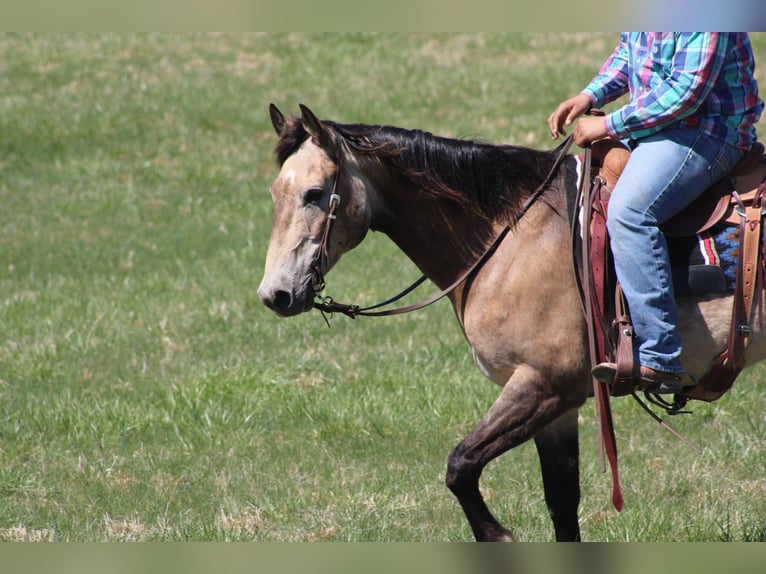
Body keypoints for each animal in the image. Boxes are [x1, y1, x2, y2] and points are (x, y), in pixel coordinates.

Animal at [260, 104, 766, 544]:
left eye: (314, 194)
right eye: (274, 194)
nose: (274, 295)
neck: (517, 236)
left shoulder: (543, 384)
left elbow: (460, 465)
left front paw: (497, 535)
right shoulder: (557, 406)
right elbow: (561, 504)